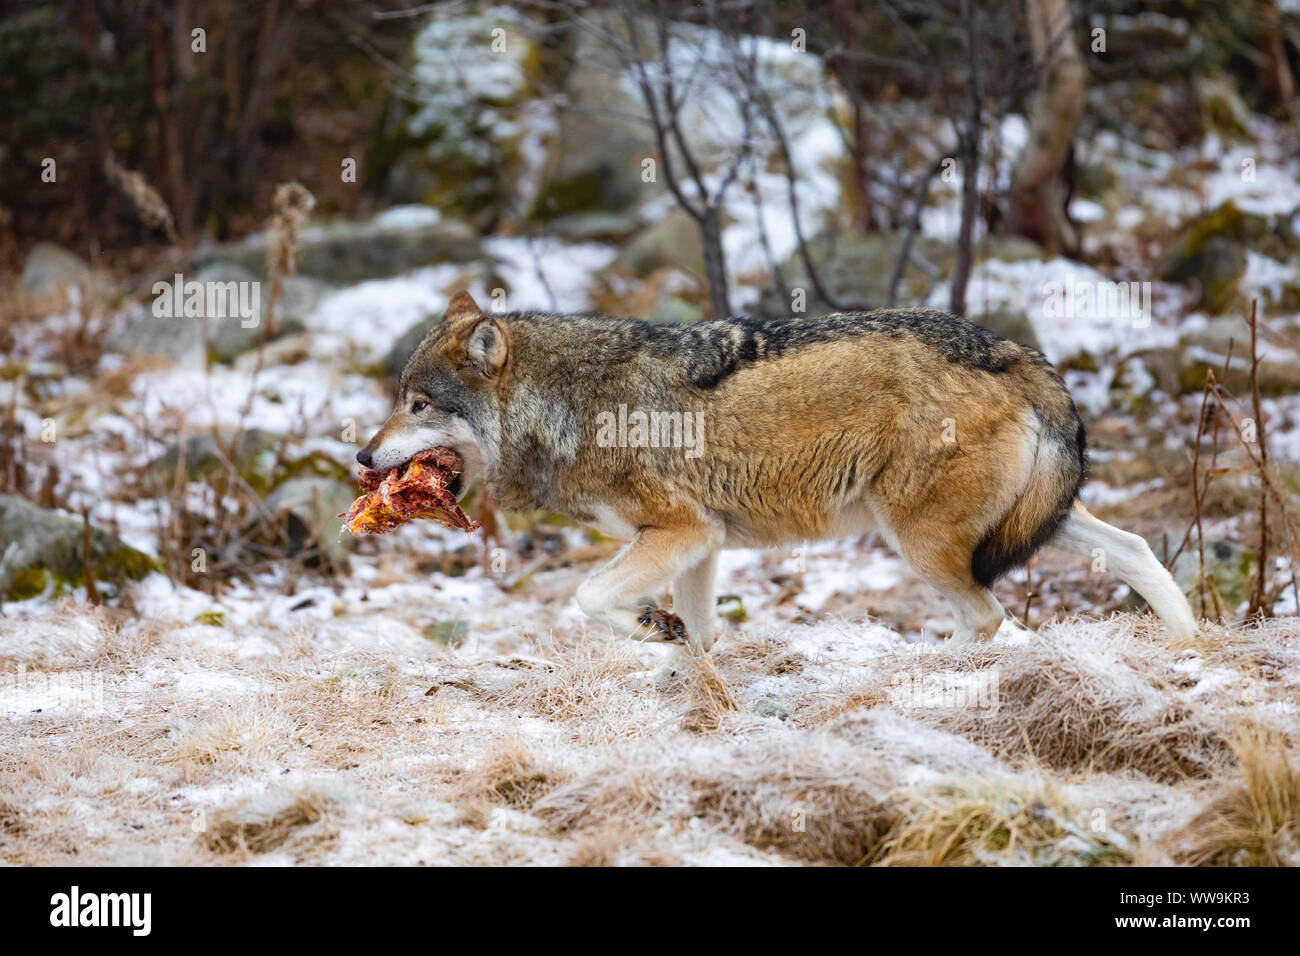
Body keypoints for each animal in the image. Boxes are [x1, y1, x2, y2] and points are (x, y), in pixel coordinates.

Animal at [360, 291, 1196, 668]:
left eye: (417, 404)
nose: (364, 458)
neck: (570, 402)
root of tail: (1017, 351)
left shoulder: (682, 531)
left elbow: (589, 595)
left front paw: (646, 628)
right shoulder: (701, 546)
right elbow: (699, 635)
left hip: (918, 541)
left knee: (986, 615)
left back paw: (924, 673)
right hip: (1035, 522)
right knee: (1134, 549)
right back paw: (1192, 645)